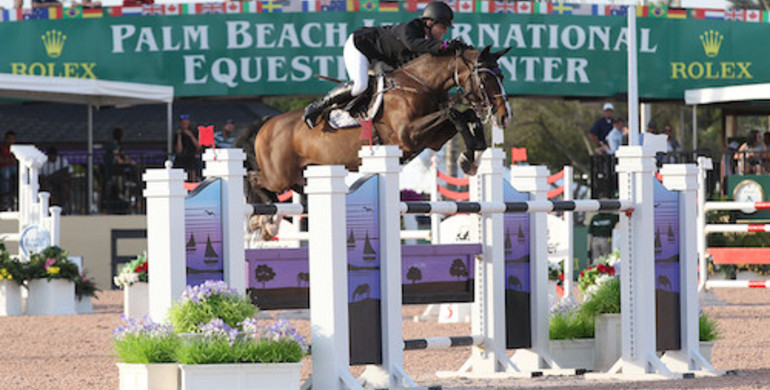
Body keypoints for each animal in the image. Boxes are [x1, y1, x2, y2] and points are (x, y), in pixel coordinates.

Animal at [252, 45, 510, 197]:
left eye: (502, 76)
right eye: (485, 78)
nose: (504, 116)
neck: (419, 85)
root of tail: (265, 127)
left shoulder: (432, 140)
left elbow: (465, 116)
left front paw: (472, 156)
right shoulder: (409, 135)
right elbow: (454, 113)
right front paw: (469, 158)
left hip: (305, 171)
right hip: (278, 178)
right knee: (255, 180)